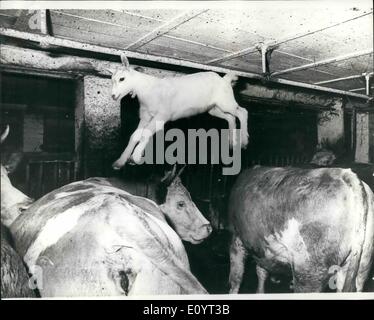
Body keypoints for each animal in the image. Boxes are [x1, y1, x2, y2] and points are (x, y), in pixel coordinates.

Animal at [228, 166, 374, 294]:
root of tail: (346, 175)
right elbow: (261, 271)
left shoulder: (237, 238)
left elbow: (236, 277)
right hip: (361, 265)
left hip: (309, 271)